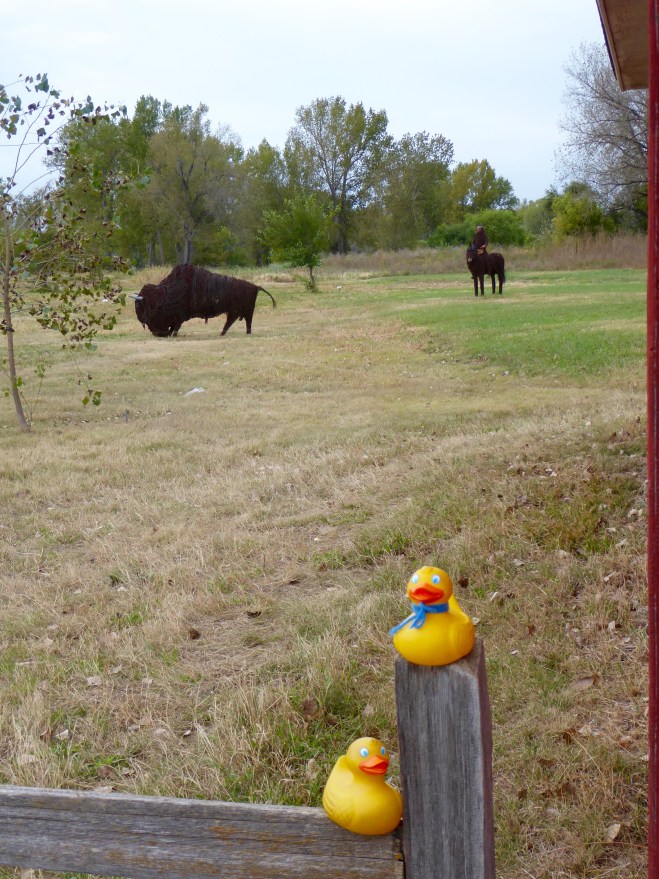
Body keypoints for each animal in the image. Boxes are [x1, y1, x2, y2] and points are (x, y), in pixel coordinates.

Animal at [134, 264, 276, 337]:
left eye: (143, 308)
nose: (157, 334)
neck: (165, 294)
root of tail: (255, 287)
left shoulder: (179, 316)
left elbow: (176, 326)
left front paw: (173, 334)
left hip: (243, 311)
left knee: (241, 321)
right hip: (238, 312)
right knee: (234, 321)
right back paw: (225, 333)